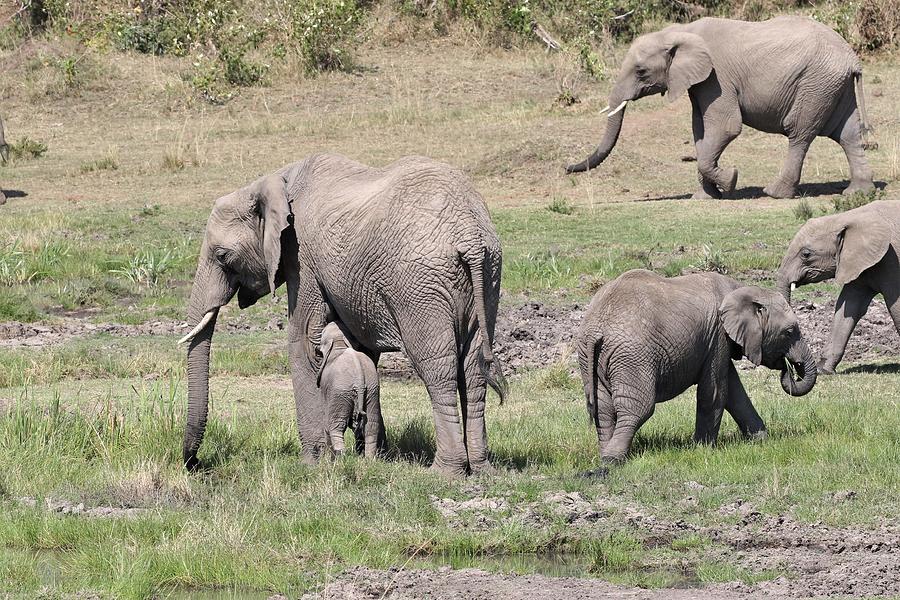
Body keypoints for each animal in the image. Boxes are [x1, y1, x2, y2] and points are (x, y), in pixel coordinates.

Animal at [316, 322, 384, 458]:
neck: (339, 344)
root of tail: (359, 379)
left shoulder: (326, 386)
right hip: (372, 391)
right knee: (372, 425)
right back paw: (369, 459)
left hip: (340, 392)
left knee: (336, 425)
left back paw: (340, 458)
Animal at [568, 15, 876, 199]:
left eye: (641, 71)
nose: (567, 167)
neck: (680, 32)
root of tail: (852, 58)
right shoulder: (699, 83)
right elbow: (700, 131)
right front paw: (705, 197)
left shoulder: (717, 78)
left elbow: (726, 127)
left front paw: (731, 180)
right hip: (833, 85)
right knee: (848, 134)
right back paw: (857, 193)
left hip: (815, 84)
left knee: (799, 133)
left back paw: (774, 193)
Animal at [576, 270, 816, 472]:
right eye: (789, 332)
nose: (789, 367)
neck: (741, 290)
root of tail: (597, 328)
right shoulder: (717, 335)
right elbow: (716, 392)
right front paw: (703, 449)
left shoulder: (717, 341)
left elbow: (735, 393)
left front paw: (761, 440)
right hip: (632, 357)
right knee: (637, 408)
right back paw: (612, 461)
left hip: (591, 359)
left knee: (603, 410)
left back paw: (604, 455)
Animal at [772, 199, 900, 372]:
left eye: (806, 254)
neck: (845, 218)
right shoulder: (856, 261)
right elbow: (848, 307)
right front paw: (823, 369)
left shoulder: (893, 260)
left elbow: (896, 305)